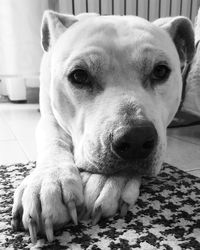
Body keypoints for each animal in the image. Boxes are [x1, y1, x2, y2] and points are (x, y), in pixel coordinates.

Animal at [10, 11, 194, 244]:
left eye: (160, 71)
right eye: (79, 75)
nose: (135, 139)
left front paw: (108, 181)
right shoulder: (49, 119)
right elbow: (53, 140)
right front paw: (47, 182)